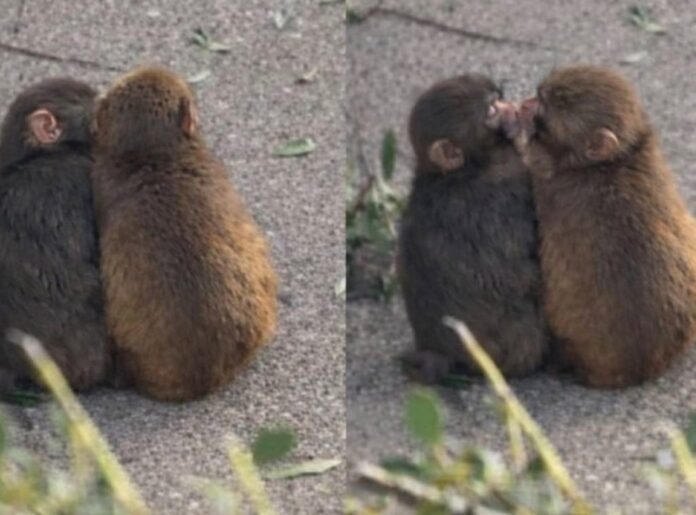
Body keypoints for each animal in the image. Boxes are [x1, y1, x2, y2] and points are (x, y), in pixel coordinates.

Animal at [397, 74, 548, 384]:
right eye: (491, 109)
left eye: (498, 98)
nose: (514, 107)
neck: (458, 172)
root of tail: (437, 351)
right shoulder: (502, 188)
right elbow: (528, 266)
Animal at [513, 65, 696, 388]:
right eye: (538, 96)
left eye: (543, 107)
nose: (525, 105)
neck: (614, 160)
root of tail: (641, 368)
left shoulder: (551, 184)